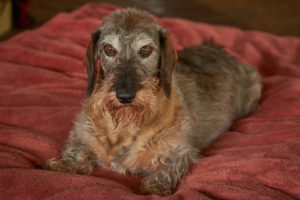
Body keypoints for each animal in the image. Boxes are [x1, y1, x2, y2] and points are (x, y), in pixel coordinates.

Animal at [43, 7, 262, 195]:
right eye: (109, 49)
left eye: (146, 50)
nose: (124, 96)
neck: (127, 124)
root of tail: (218, 49)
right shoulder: (81, 133)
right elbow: (76, 148)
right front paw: (66, 165)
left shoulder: (180, 153)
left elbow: (166, 169)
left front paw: (154, 188)